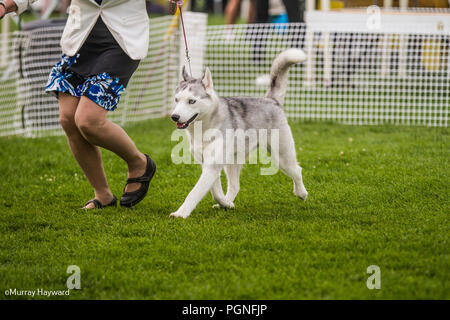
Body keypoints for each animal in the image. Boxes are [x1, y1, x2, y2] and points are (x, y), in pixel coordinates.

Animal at [171, 48, 308, 219]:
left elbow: (194, 193)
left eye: (191, 101)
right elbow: (215, 192)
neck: (203, 129)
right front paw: (225, 203)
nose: (174, 116)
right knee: (235, 185)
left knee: (297, 171)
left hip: (282, 157)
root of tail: (271, 100)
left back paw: (301, 193)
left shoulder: (212, 165)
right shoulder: (207, 164)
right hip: (233, 162)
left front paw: (180, 213)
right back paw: (228, 202)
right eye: (176, 100)